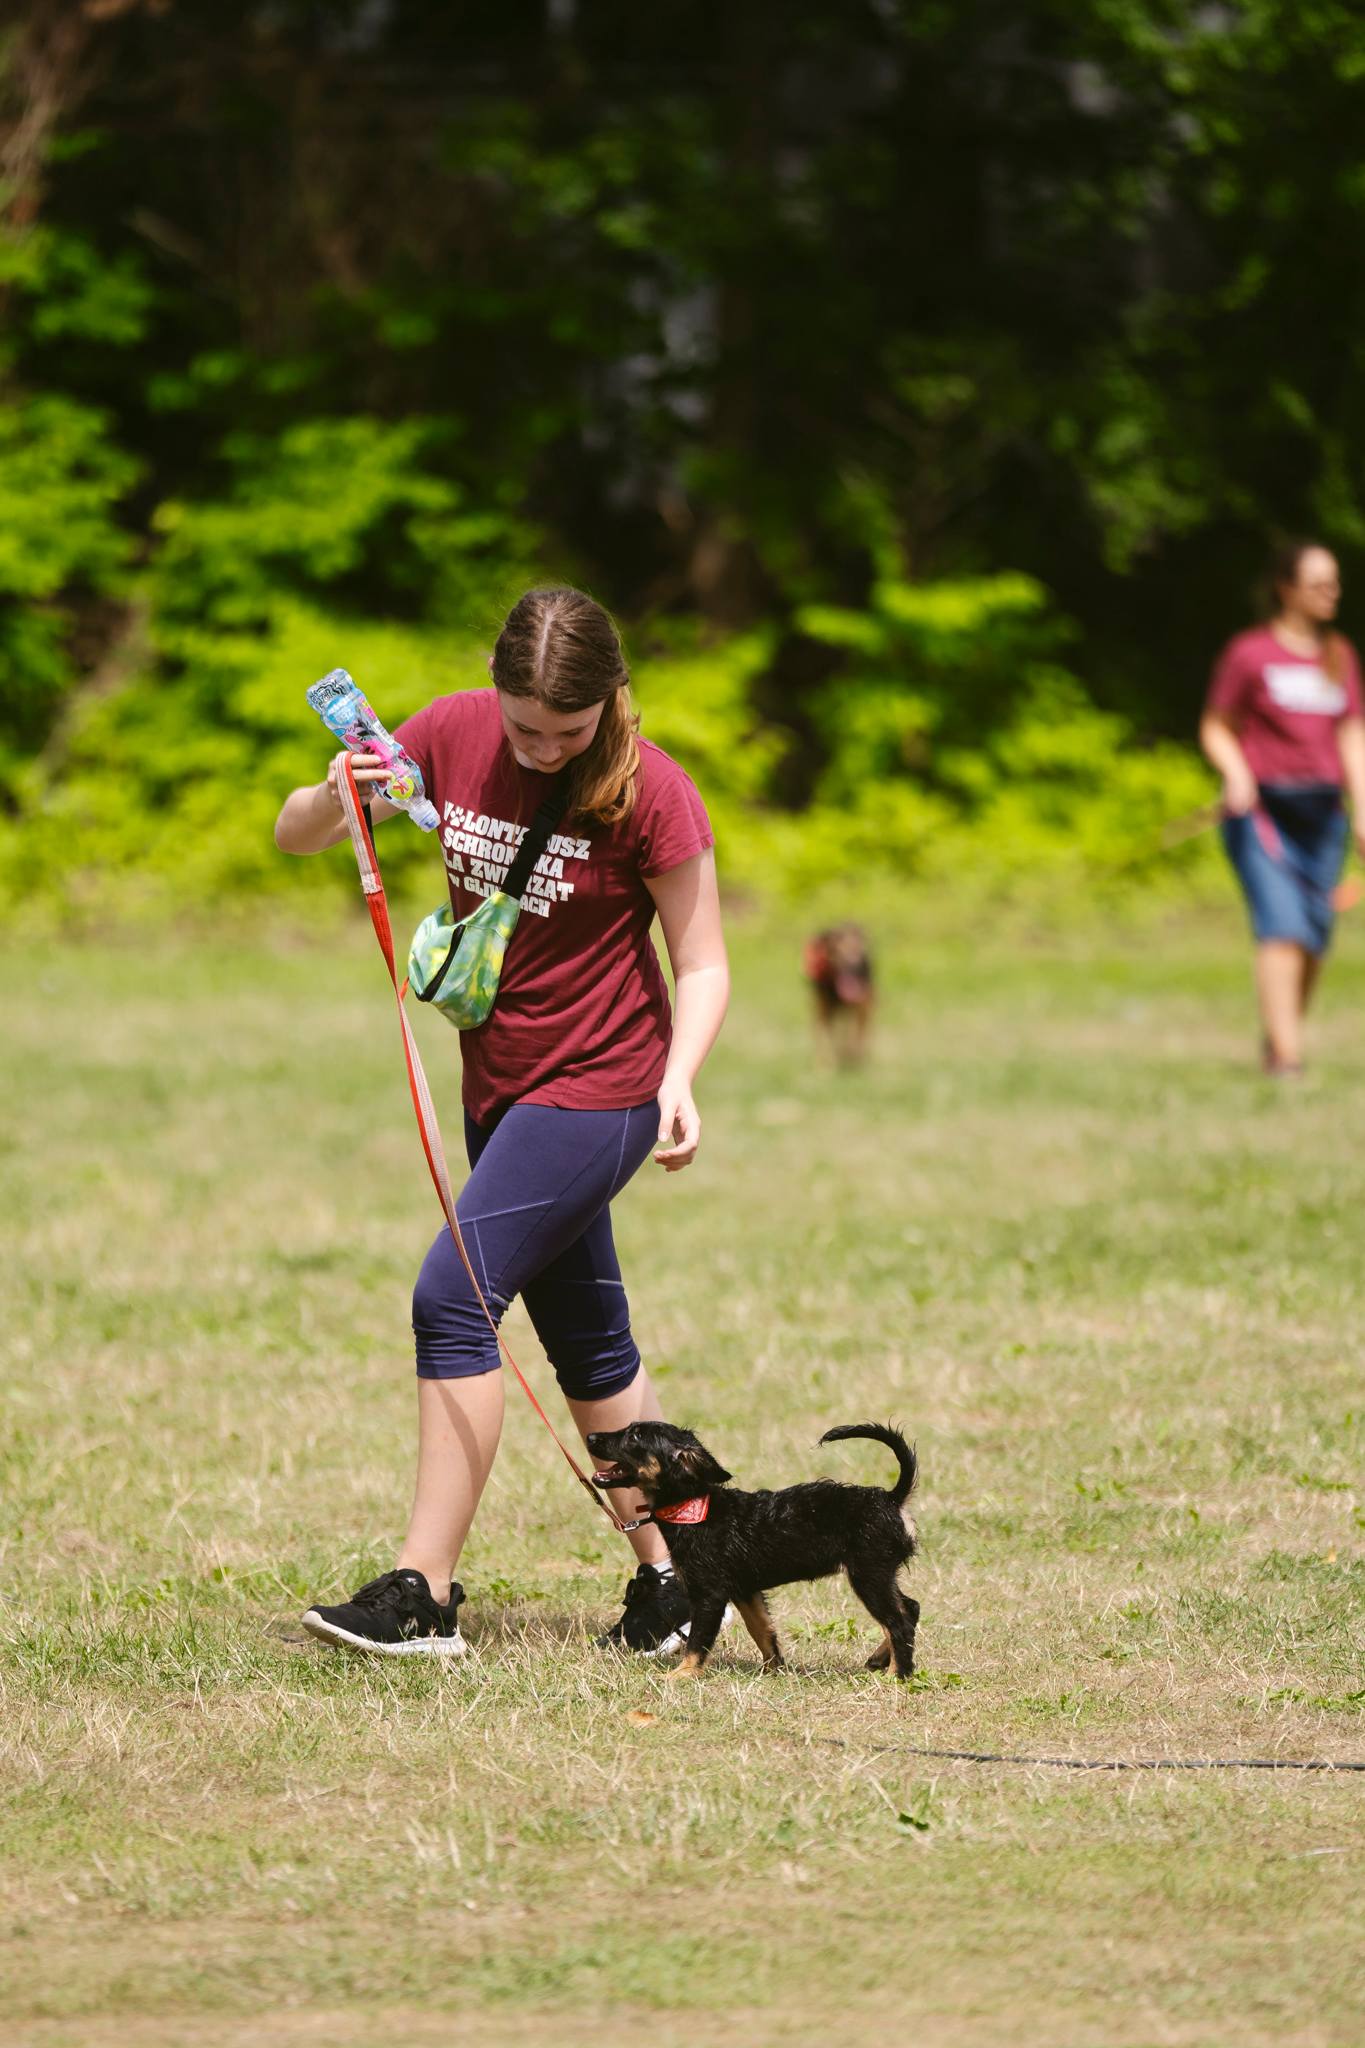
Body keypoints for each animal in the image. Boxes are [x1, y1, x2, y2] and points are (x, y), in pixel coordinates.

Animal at [589, 1417, 916, 1687]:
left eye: (635, 1436)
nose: (591, 1437)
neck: (692, 1508)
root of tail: (890, 1498)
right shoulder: (745, 1590)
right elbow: (762, 1630)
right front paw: (773, 1669)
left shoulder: (710, 1595)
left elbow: (698, 1641)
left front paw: (683, 1673)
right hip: (879, 1573)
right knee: (910, 1608)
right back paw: (882, 1659)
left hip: (868, 1574)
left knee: (897, 1622)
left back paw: (897, 1675)